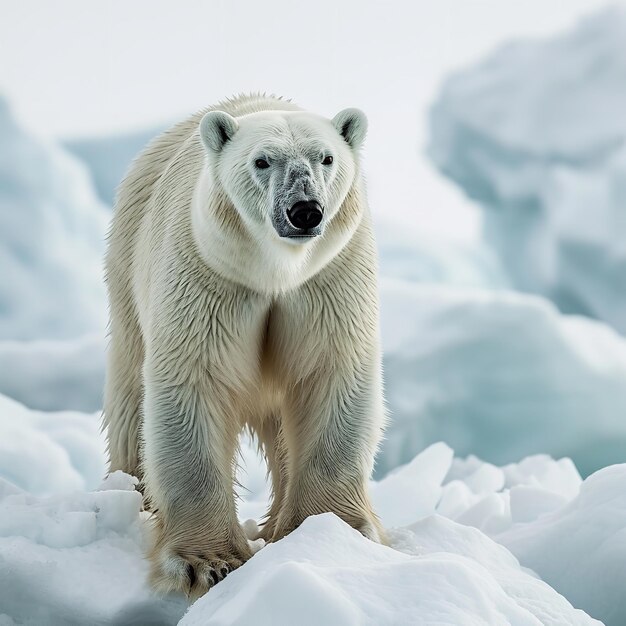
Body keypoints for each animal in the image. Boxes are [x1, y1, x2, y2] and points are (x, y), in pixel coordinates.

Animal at [103, 94, 386, 596]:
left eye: (326, 158)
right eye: (262, 161)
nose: (305, 210)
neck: (275, 272)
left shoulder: (330, 279)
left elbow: (332, 377)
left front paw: (332, 534)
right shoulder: (209, 277)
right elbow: (194, 386)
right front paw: (205, 563)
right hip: (127, 269)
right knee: (130, 400)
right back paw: (133, 496)